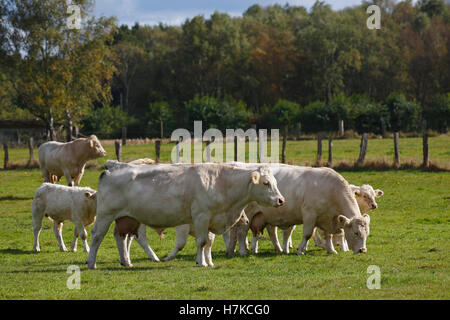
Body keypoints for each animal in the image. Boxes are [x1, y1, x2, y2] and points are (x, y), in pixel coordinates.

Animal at [87, 162, 284, 268]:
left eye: (275, 182)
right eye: (266, 183)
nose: (281, 200)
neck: (220, 182)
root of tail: (111, 170)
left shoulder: (210, 219)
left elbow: (208, 243)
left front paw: (208, 262)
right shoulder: (201, 216)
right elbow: (202, 242)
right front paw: (201, 263)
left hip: (127, 218)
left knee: (120, 237)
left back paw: (126, 262)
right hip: (105, 215)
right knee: (97, 236)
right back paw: (91, 263)